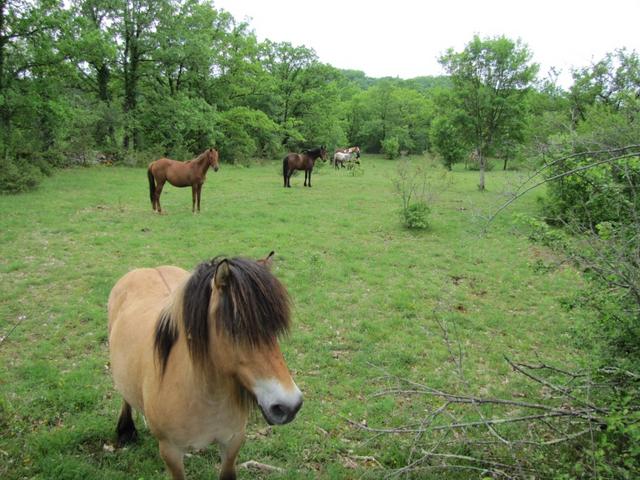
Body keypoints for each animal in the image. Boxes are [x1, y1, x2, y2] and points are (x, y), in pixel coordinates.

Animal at [107, 251, 302, 480]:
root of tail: (147, 269)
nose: (290, 405)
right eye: (236, 328)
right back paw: (125, 430)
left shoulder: (233, 441)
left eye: (274, 329)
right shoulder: (170, 451)